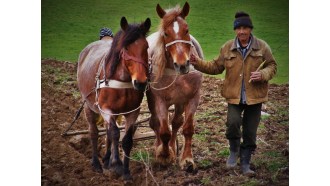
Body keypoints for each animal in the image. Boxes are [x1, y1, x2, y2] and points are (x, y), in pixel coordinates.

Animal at [76, 16, 150, 181]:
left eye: (146, 47)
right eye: (126, 48)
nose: (140, 82)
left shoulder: (133, 112)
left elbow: (126, 139)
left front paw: (126, 172)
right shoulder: (105, 109)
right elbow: (115, 133)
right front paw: (116, 164)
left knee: (108, 131)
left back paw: (106, 159)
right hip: (89, 106)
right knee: (94, 132)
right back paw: (97, 163)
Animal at [147, 2, 204, 171]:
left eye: (187, 30)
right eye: (166, 33)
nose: (182, 64)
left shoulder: (193, 97)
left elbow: (187, 128)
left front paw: (187, 159)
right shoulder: (159, 99)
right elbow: (164, 130)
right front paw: (164, 155)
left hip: (179, 101)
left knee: (176, 122)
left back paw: (172, 147)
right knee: (156, 123)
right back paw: (160, 147)